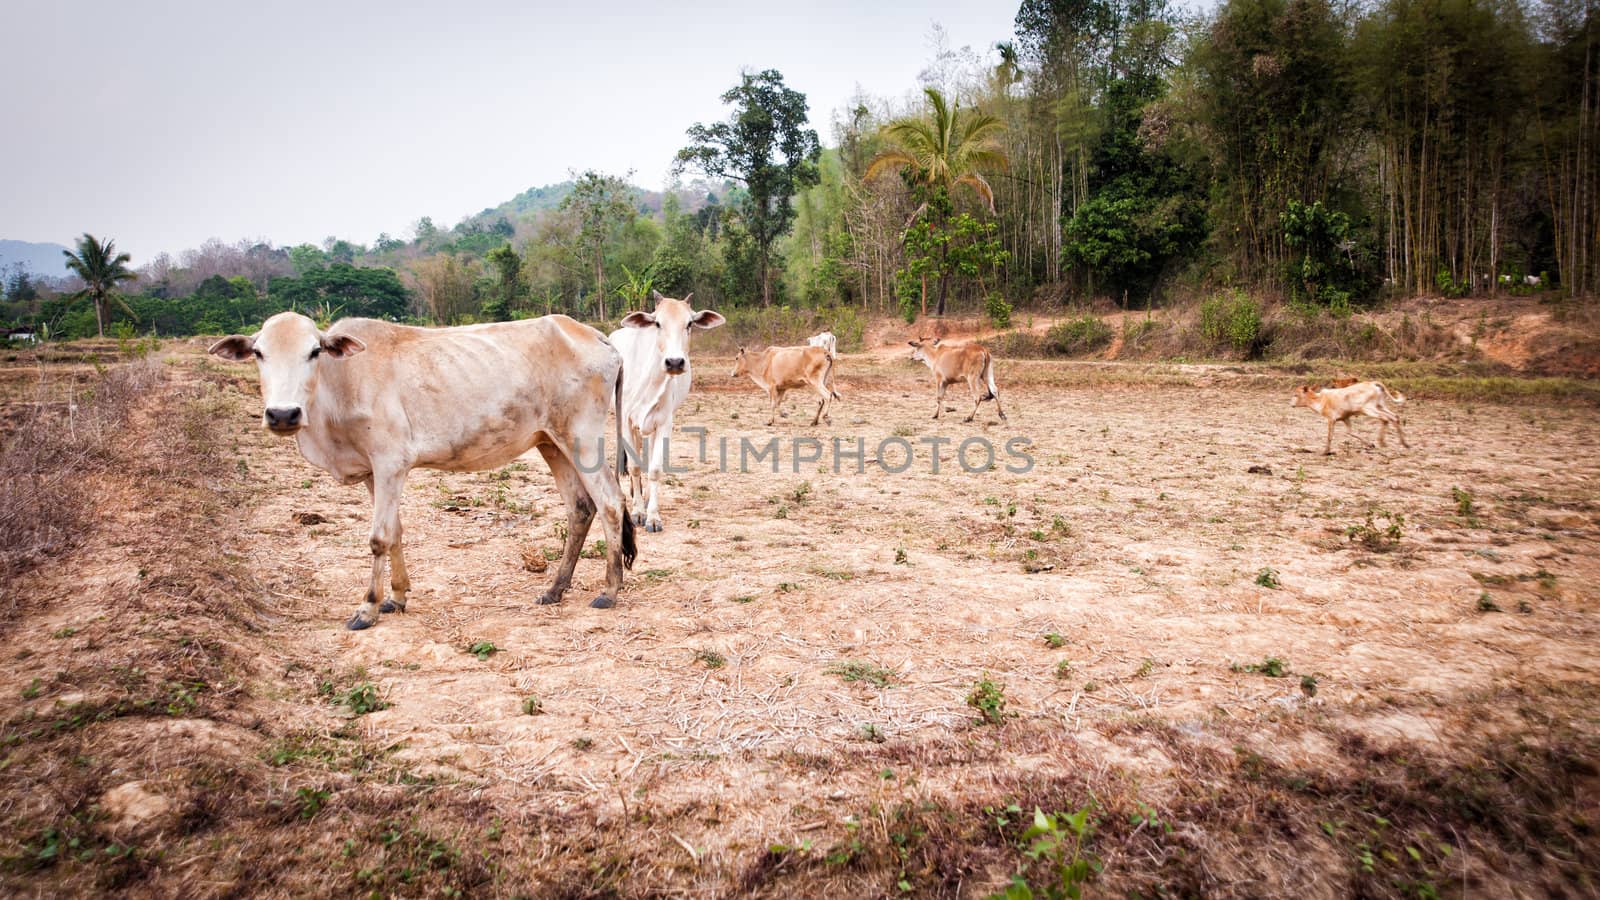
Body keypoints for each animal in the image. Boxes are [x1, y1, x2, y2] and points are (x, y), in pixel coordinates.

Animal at [209, 312, 633, 627]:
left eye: (314, 351)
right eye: (258, 353)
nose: (283, 414)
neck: (341, 383)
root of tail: (597, 336)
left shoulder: (390, 464)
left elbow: (378, 537)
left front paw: (368, 608)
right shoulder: (373, 473)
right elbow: (395, 532)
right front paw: (396, 597)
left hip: (582, 437)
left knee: (611, 503)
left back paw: (609, 590)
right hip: (550, 442)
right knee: (580, 508)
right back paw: (555, 589)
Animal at [604, 293, 726, 531]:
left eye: (689, 324)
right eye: (658, 323)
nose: (675, 362)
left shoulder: (663, 423)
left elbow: (655, 469)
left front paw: (652, 516)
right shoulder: (626, 421)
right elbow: (634, 467)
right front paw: (638, 512)